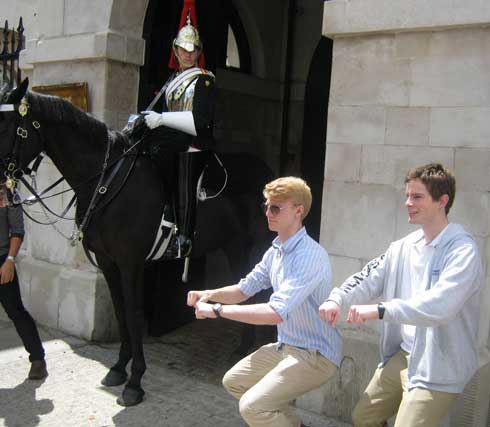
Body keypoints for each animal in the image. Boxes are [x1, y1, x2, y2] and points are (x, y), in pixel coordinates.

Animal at [0, 79, 276, 408]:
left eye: (7, 124)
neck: (107, 179)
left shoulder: (131, 263)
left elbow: (133, 315)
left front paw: (134, 382)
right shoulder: (107, 262)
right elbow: (120, 313)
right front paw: (119, 369)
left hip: (257, 246)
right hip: (234, 246)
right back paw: (244, 349)